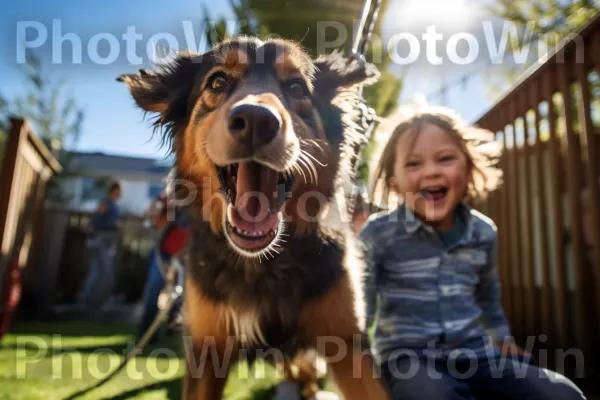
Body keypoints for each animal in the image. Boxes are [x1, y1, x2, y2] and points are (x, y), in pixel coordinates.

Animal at [118, 36, 390, 398]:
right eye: (218, 81)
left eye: (297, 87)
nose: (256, 120)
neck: (262, 264)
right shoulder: (206, 349)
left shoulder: (348, 342)